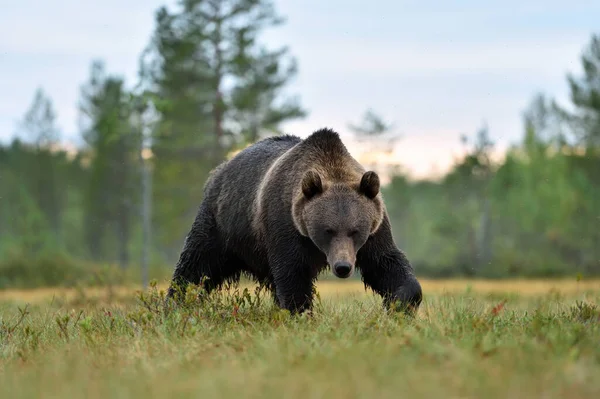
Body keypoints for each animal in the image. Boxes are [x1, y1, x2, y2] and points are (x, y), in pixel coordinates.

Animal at [166, 128, 424, 316]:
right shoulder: (285, 223)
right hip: (223, 223)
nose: (342, 267)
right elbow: (293, 273)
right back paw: (174, 304)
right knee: (197, 263)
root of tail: (221, 168)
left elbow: (385, 263)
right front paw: (301, 313)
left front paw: (400, 304)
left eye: (355, 231)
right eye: (328, 230)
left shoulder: (375, 229)